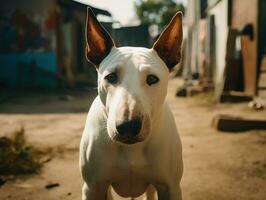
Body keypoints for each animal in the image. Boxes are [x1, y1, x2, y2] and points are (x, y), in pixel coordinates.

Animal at [79, 7, 183, 199]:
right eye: (111, 77)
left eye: (152, 79)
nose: (128, 126)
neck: (131, 149)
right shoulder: (93, 187)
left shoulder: (170, 187)